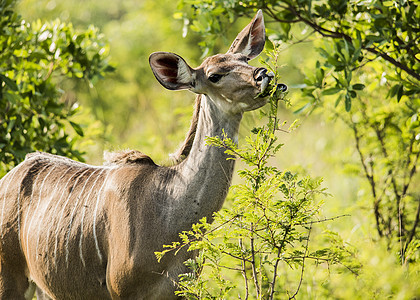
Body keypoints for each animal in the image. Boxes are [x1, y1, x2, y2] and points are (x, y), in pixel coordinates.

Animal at [0, 9, 276, 300]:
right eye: (214, 75)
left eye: (245, 59)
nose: (263, 74)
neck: (170, 209)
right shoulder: (122, 289)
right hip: (10, 277)